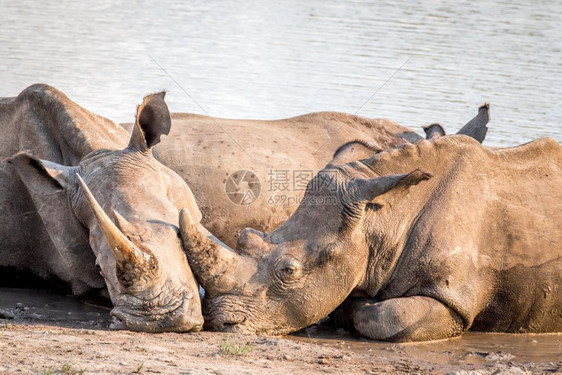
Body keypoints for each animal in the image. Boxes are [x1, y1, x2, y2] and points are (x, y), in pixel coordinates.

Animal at [180, 133, 560, 344]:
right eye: (245, 236)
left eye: (289, 271)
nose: (218, 322)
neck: (384, 218)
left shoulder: (453, 298)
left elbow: (388, 317)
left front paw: (358, 308)